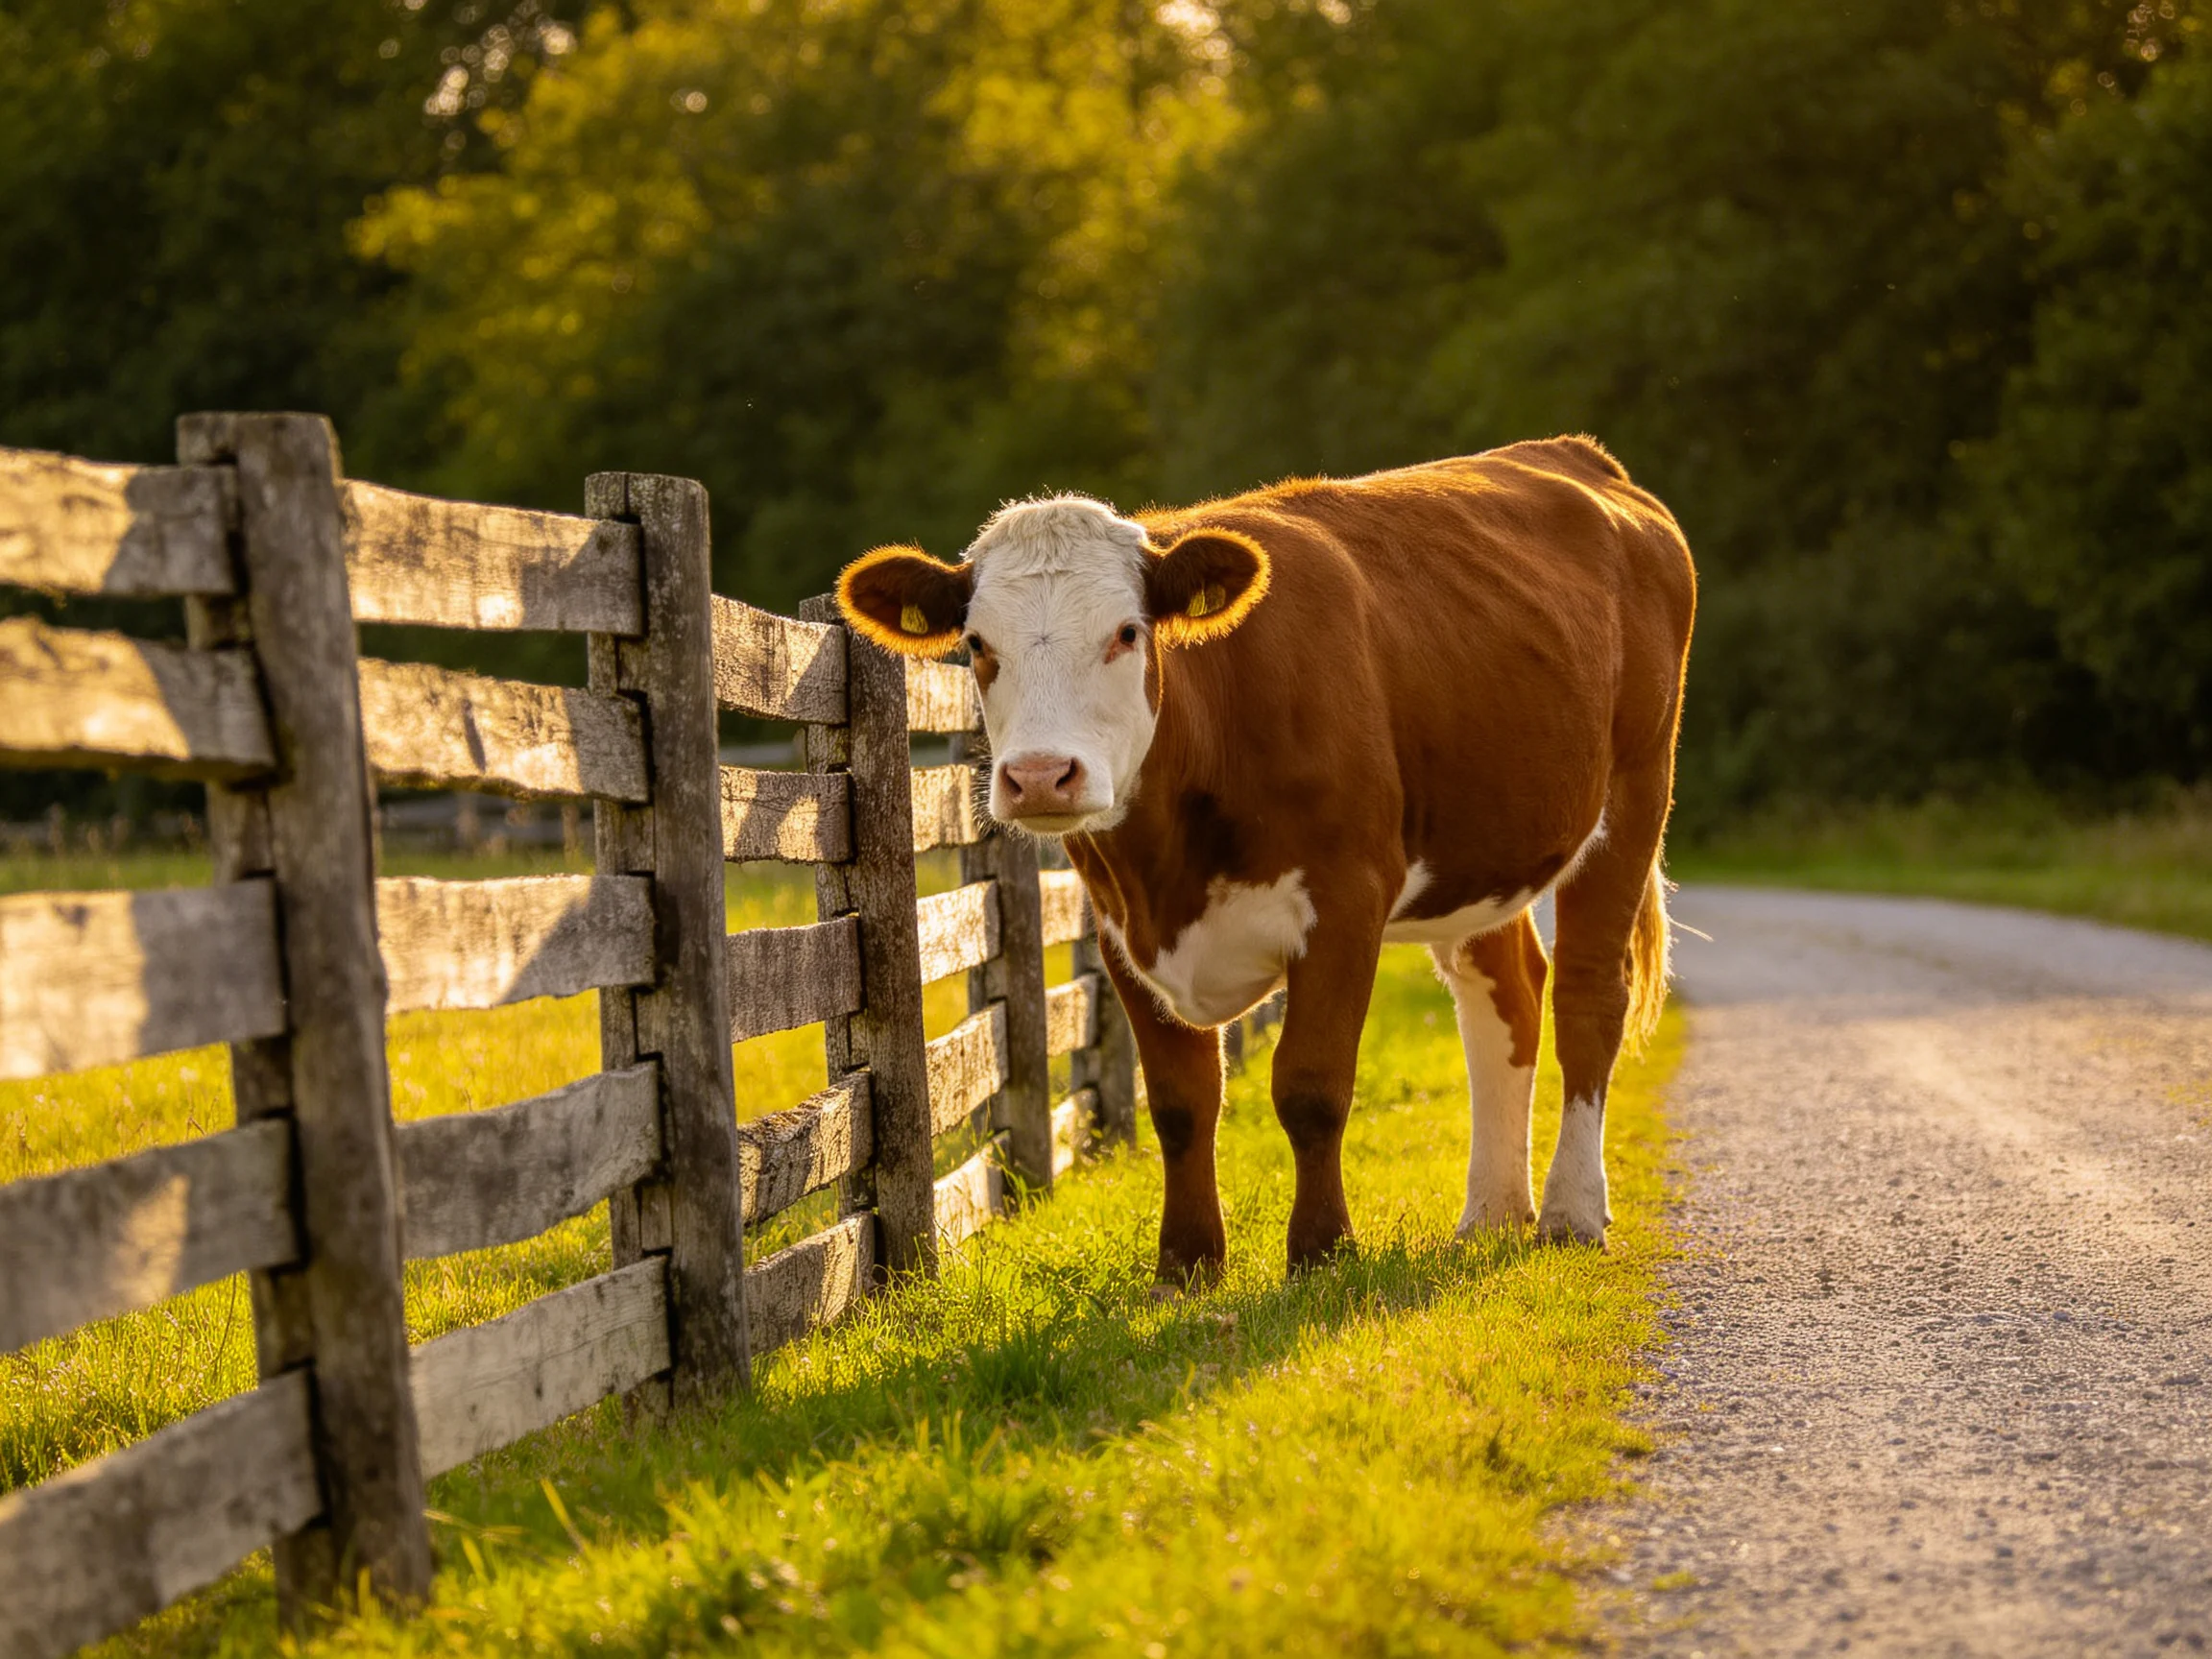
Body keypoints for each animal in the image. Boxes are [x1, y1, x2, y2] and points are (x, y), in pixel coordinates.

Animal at [837, 437, 1695, 1283]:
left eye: (1126, 632)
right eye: (978, 644)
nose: (1042, 775)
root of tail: (1579, 457)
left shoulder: (1347, 899)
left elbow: (1311, 1086)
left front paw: (1322, 1252)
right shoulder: (1118, 923)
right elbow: (1180, 1100)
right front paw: (1187, 1263)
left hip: (1636, 788)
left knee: (1589, 996)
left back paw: (1570, 1213)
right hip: (1481, 846)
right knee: (1506, 994)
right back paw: (1489, 1214)